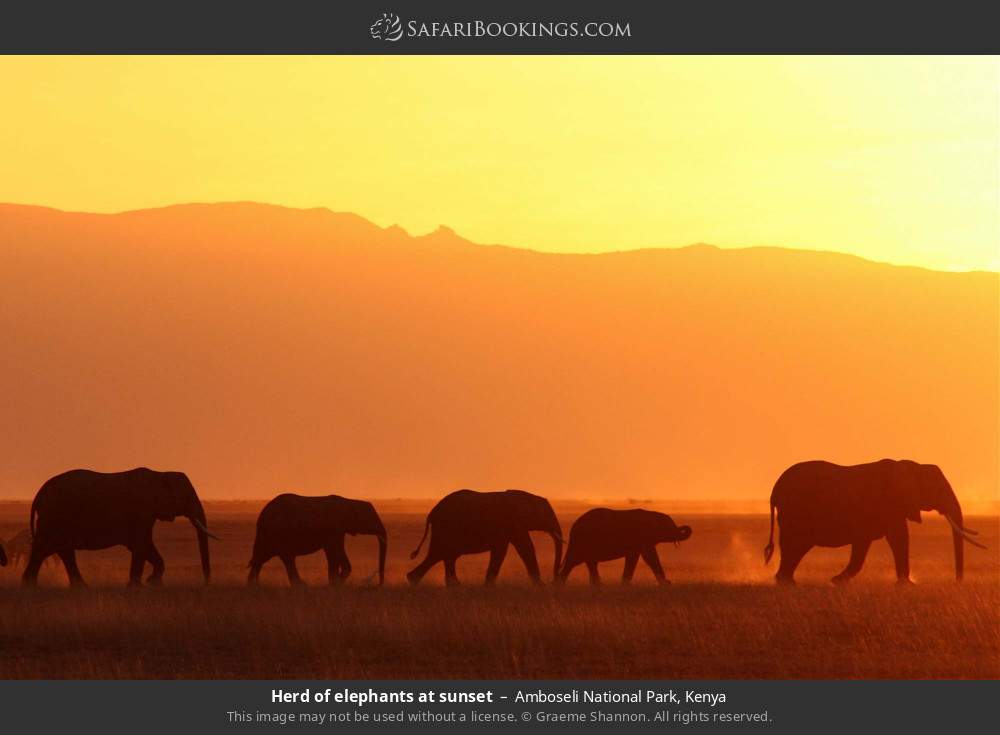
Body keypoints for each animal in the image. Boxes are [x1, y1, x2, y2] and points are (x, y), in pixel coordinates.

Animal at [22, 468, 219, 587]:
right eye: (186, 496)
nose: (206, 583)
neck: (161, 474)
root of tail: (39, 493)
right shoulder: (142, 512)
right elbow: (141, 545)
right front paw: (138, 586)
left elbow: (144, 546)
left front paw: (152, 583)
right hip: (54, 517)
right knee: (44, 549)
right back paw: (30, 587)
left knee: (62, 551)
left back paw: (80, 588)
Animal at [247, 493, 387, 586]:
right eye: (371, 519)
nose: (379, 585)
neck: (350, 502)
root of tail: (261, 516)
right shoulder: (333, 529)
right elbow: (335, 550)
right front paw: (336, 583)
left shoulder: (338, 531)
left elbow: (333, 553)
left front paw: (333, 583)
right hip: (278, 533)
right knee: (286, 558)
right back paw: (300, 586)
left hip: (268, 536)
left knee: (261, 558)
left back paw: (253, 586)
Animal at [407, 489, 564, 586]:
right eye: (548, 515)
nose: (553, 581)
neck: (527, 496)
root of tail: (432, 512)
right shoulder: (512, 522)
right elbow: (522, 548)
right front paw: (541, 586)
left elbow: (507, 549)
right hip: (445, 528)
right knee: (439, 554)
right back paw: (414, 581)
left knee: (447, 556)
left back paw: (454, 586)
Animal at [556, 508, 692, 585]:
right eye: (670, 526)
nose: (682, 527)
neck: (652, 515)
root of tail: (574, 527)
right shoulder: (641, 538)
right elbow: (648, 557)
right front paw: (667, 584)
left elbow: (641, 557)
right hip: (584, 541)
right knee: (576, 561)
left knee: (584, 562)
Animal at [763, 459, 986, 585]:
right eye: (938, 489)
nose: (957, 582)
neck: (912, 467)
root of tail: (775, 490)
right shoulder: (890, 505)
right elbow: (899, 538)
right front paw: (908, 585)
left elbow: (862, 546)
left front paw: (837, 581)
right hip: (795, 512)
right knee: (795, 544)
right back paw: (786, 583)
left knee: (796, 547)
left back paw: (786, 581)